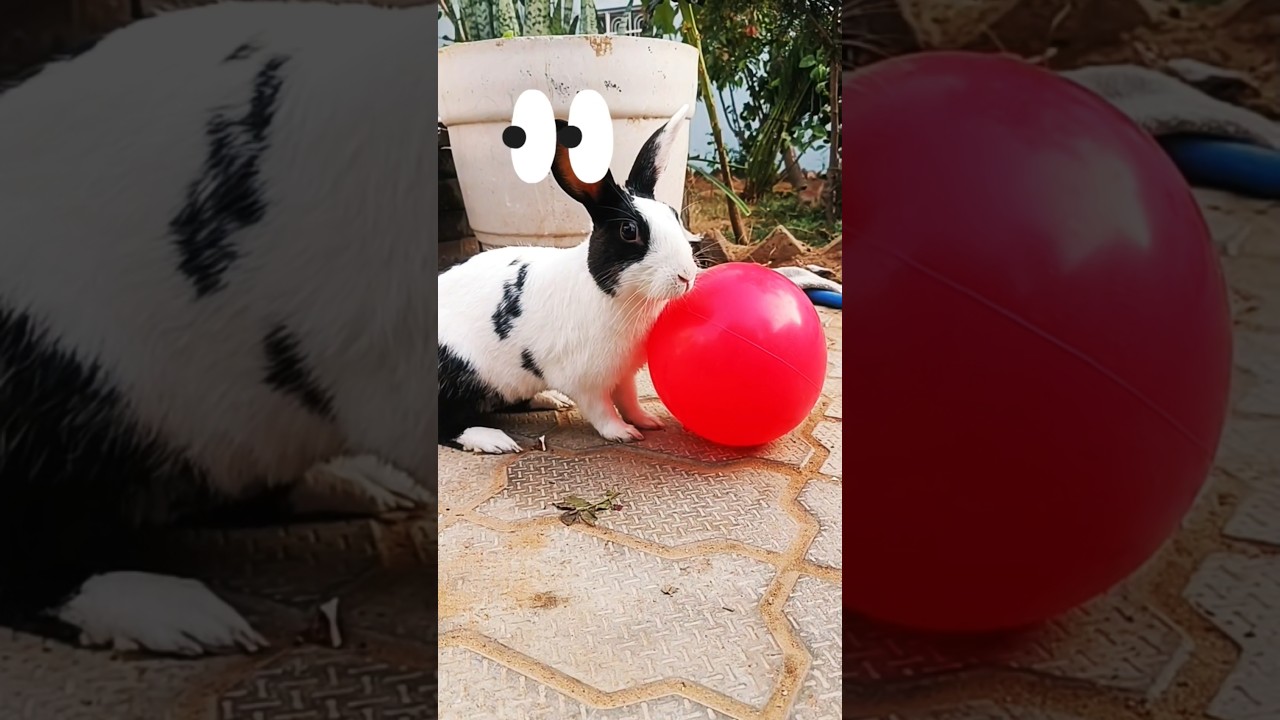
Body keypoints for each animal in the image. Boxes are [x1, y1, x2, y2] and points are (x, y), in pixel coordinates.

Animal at [438, 105, 701, 454]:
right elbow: (602, 409)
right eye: (629, 231)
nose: (687, 276)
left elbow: (629, 400)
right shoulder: (585, 381)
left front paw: (647, 421)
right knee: (444, 423)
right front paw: (622, 433)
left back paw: (550, 400)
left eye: (673, 214)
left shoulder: (623, 374)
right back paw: (494, 440)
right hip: (460, 374)